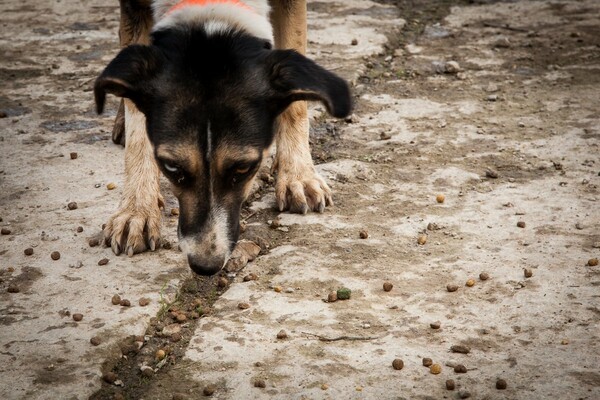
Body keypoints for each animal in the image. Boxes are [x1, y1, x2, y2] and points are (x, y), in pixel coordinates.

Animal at [94, 0, 352, 276]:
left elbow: (295, 103)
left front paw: (298, 176)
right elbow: (137, 125)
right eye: (171, 167)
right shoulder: (134, 10)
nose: (206, 266)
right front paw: (136, 209)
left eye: (244, 168)